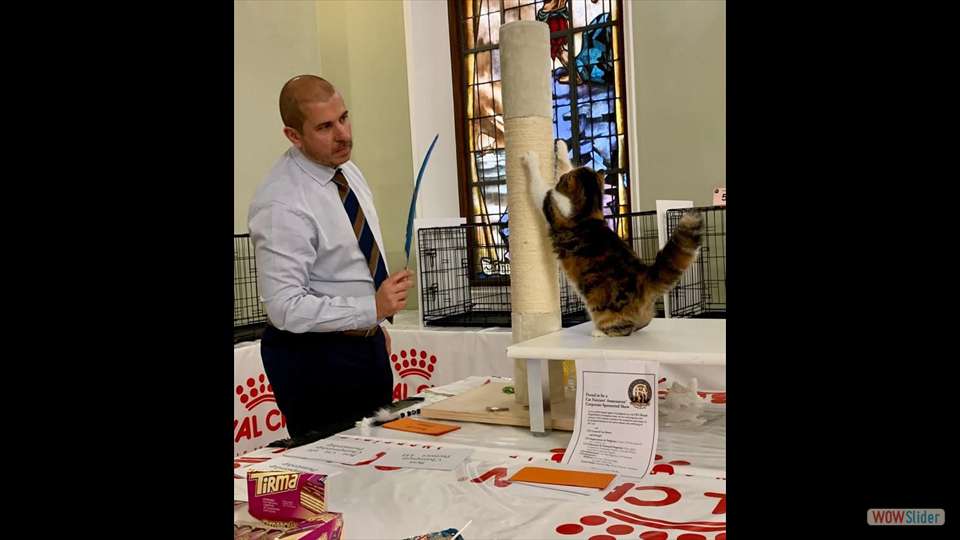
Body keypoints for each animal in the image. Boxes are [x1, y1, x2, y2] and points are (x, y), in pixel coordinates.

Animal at [516, 143, 704, 338]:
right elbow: (565, 164)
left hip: (604, 310)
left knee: (623, 329)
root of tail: (645, 276)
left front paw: (531, 159)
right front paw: (561, 146)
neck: (589, 209)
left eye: (562, 180)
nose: (560, 181)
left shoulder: (550, 202)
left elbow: (539, 186)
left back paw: (599, 332)